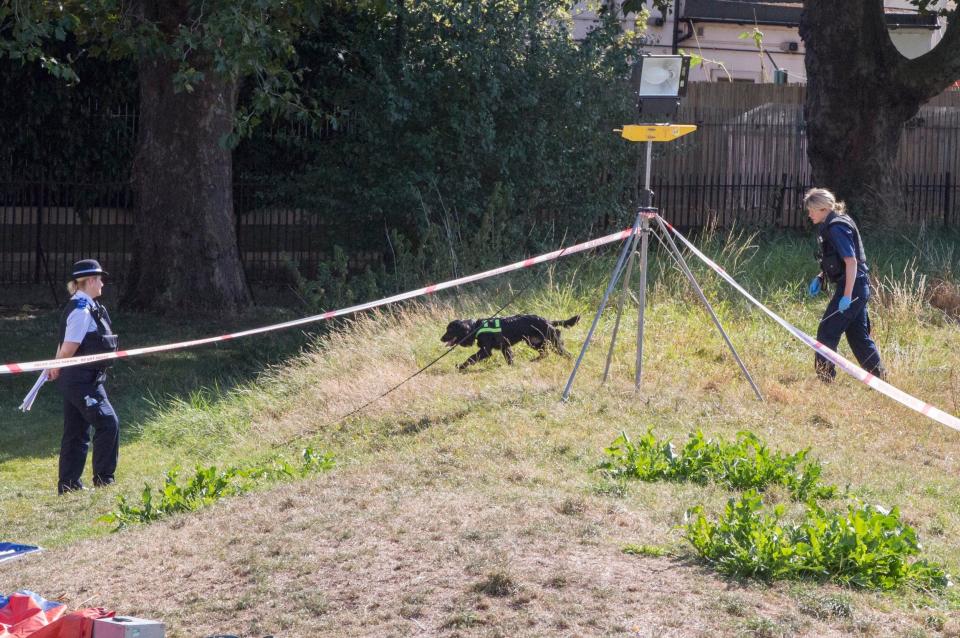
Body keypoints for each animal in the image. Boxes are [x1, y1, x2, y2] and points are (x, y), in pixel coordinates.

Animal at [440, 316, 576, 370]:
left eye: (449, 330)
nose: (441, 338)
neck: (476, 327)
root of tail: (548, 321)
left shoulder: (486, 350)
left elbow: (471, 358)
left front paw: (461, 367)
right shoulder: (505, 347)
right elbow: (509, 359)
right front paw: (512, 367)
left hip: (552, 342)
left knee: (567, 354)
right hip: (533, 342)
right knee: (545, 353)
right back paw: (533, 360)